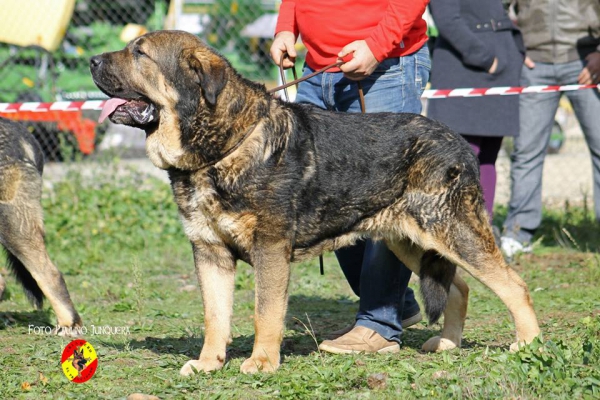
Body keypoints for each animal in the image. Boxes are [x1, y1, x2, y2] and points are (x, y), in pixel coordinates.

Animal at [90, 30, 544, 376]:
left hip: (453, 230)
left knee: (513, 285)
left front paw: (261, 363)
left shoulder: (270, 249)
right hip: (409, 239)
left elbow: (265, 312)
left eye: (140, 53)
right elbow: (214, 317)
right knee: (459, 286)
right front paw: (208, 364)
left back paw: (528, 344)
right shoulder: (209, 251)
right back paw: (448, 343)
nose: (93, 60)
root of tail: (457, 141)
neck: (221, 147)